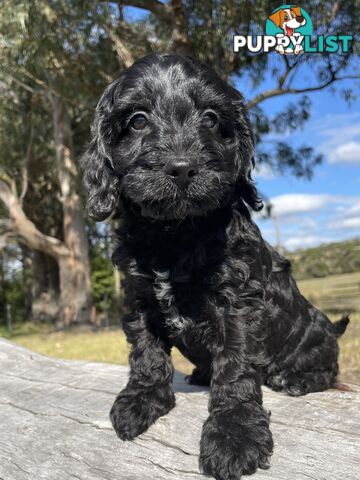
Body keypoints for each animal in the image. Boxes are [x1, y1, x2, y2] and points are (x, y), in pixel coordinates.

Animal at [82, 53, 348, 480]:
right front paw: (140, 400)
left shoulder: (236, 304)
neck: (175, 232)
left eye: (210, 119)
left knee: (326, 367)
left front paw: (234, 433)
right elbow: (146, 354)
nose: (181, 167)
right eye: (137, 120)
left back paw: (293, 377)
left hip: (315, 336)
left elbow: (236, 368)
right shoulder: (138, 299)